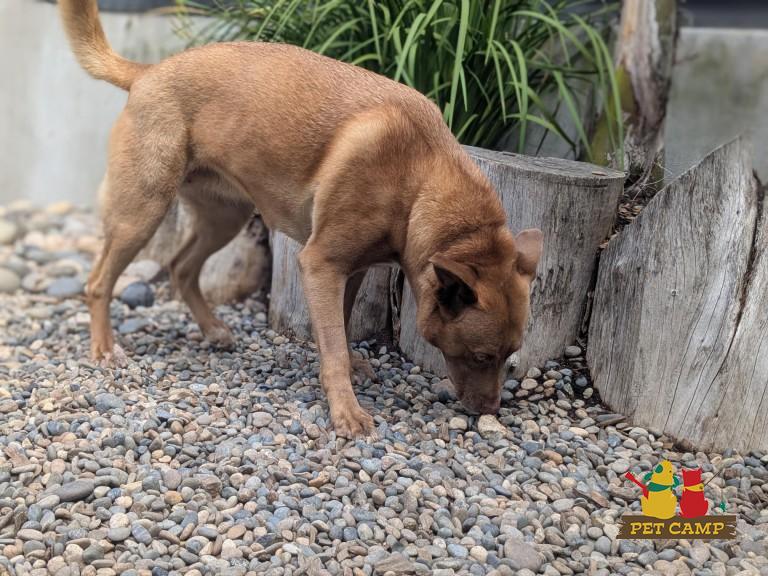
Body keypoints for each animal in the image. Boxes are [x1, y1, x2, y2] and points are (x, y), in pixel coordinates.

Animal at [59, 0, 543, 437]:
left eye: (511, 355)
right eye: (482, 356)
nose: (491, 411)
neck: (421, 179)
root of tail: (147, 72)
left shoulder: (350, 270)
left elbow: (339, 332)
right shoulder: (321, 264)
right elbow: (335, 348)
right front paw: (346, 412)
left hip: (225, 216)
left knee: (181, 268)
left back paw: (213, 330)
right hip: (143, 210)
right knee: (99, 282)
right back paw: (105, 349)